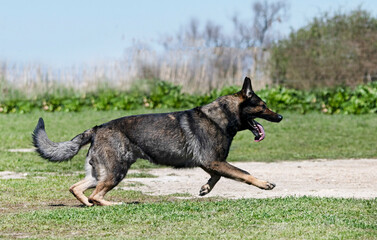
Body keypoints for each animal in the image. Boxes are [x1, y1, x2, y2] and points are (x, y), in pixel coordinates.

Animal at [33, 77, 282, 206]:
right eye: (263, 106)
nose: (279, 117)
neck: (221, 116)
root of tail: (96, 129)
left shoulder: (210, 162)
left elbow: (218, 177)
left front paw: (205, 188)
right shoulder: (213, 161)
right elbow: (243, 173)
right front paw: (264, 184)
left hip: (101, 174)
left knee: (77, 188)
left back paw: (87, 203)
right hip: (116, 172)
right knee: (97, 195)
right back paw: (112, 204)